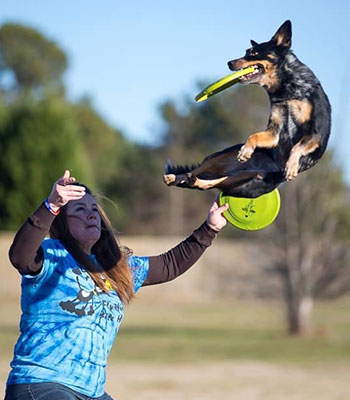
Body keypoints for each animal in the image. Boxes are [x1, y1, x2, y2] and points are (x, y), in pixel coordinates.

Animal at [164, 20, 330, 198]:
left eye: (253, 52)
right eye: (246, 51)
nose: (229, 62)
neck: (287, 87)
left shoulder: (314, 133)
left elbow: (297, 147)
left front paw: (292, 166)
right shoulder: (274, 131)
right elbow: (253, 136)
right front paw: (246, 151)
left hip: (252, 182)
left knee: (210, 184)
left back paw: (191, 180)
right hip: (221, 158)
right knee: (202, 175)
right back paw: (176, 177)